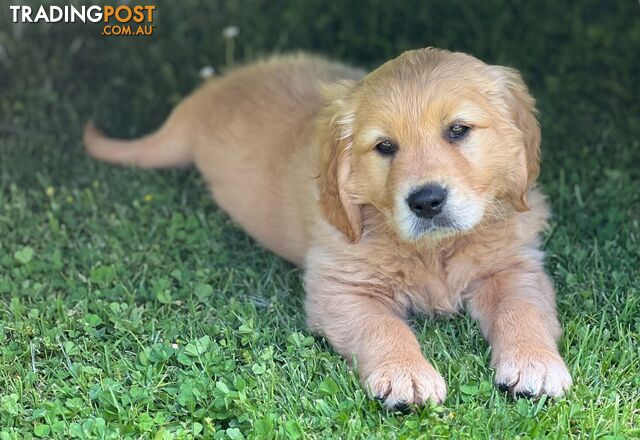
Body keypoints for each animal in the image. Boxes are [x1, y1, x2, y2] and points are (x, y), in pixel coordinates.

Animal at [84, 48, 568, 410]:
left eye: (458, 130)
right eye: (384, 147)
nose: (426, 201)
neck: (433, 249)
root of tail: (208, 93)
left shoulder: (514, 264)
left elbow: (522, 309)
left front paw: (536, 363)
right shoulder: (341, 288)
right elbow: (384, 327)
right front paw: (405, 374)